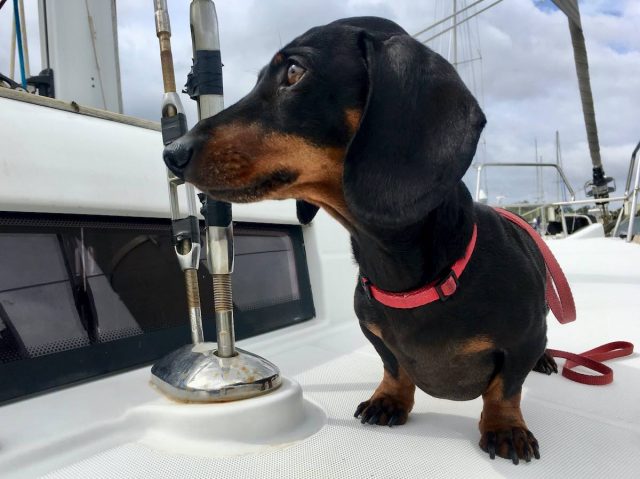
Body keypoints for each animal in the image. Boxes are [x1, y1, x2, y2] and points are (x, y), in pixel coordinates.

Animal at [162, 16, 556, 464]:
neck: (409, 280)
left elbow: (505, 388)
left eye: (294, 71)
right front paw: (389, 399)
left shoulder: (524, 340)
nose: (171, 152)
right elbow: (394, 367)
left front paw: (505, 427)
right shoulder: (374, 333)